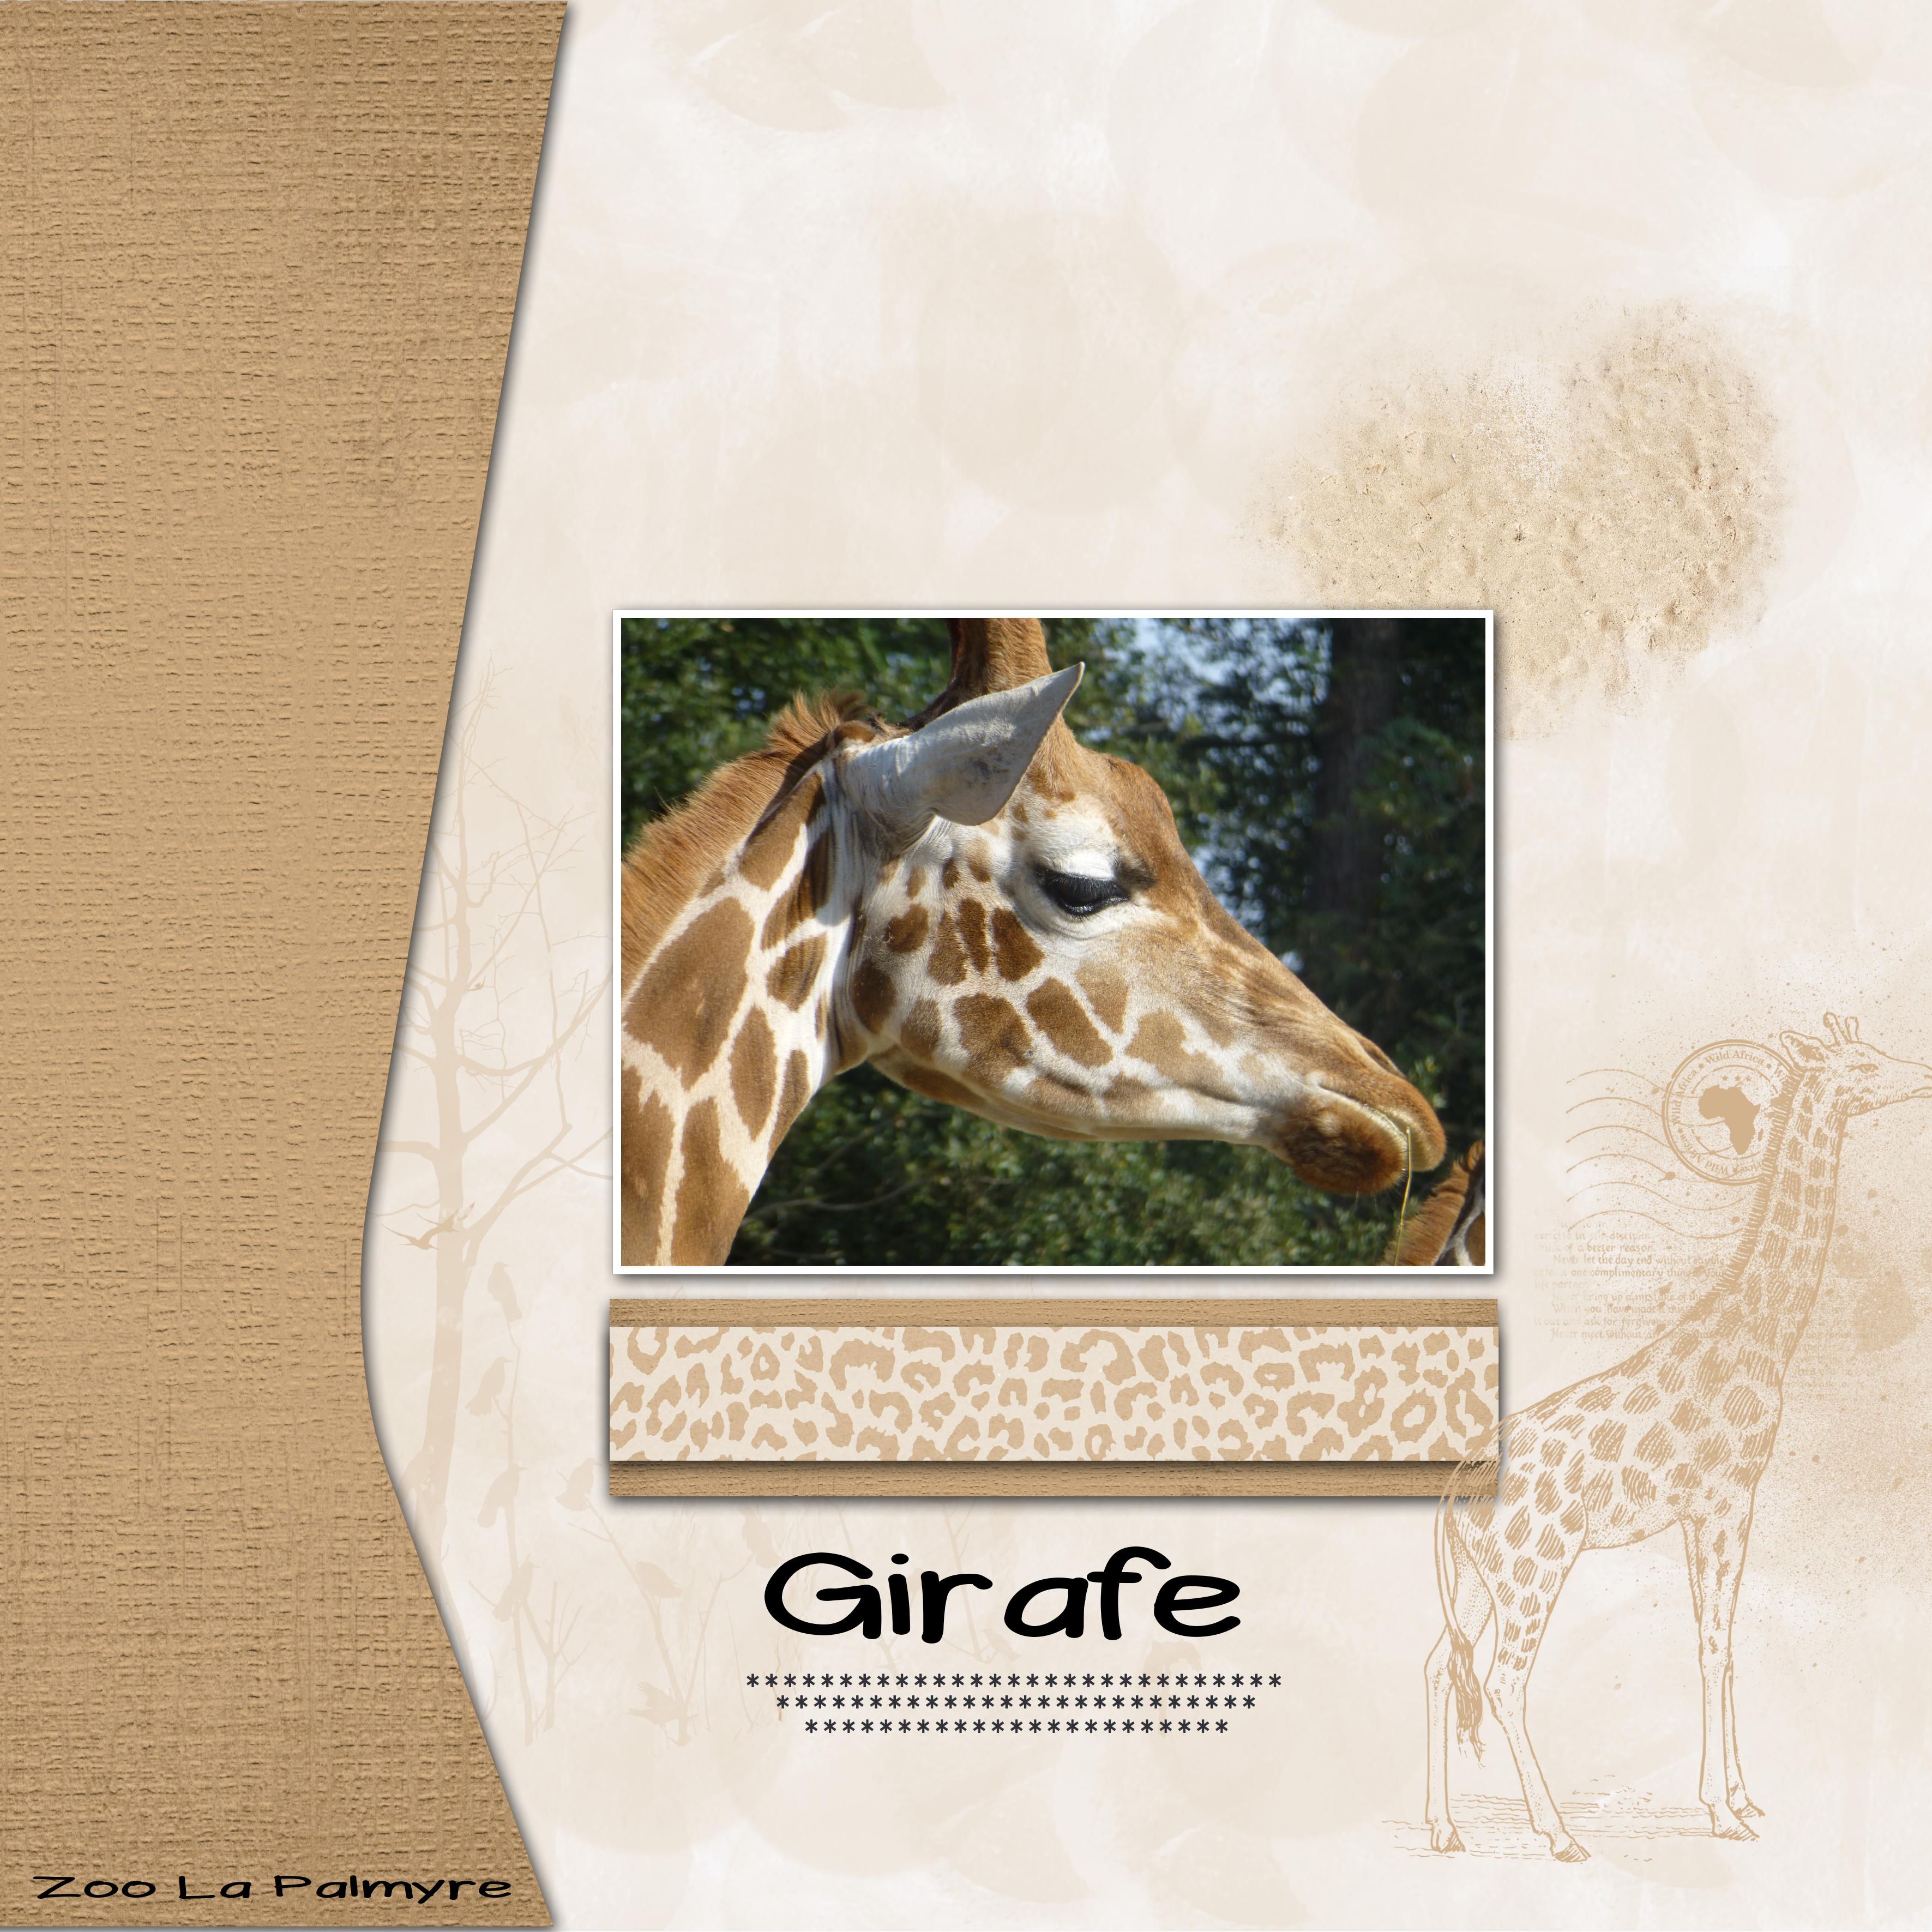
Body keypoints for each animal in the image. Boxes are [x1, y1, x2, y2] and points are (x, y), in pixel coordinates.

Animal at [1423, 1014, 1932, 1861]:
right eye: (1862, 1065)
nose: (1923, 1074)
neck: (1763, 1333)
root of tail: (1455, 1487)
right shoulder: (1728, 1498)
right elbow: (1715, 1642)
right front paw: (1723, 1812)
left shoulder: (1705, 1510)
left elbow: (1717, 1640)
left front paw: (1743, 1797)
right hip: (1532, 1571)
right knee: (1501, 1681)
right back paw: (1557, 1833)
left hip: (1474, 1576)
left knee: (1438, 1665)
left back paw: (1443, 1827)